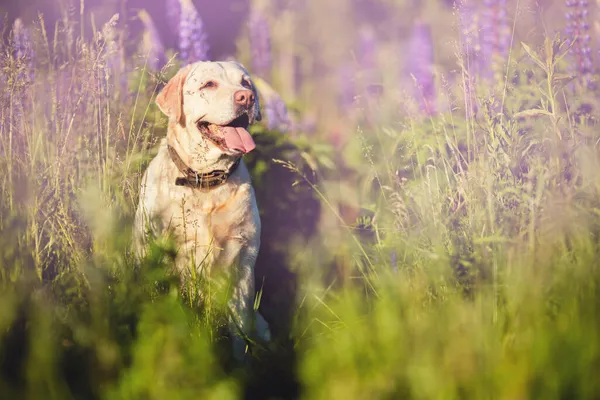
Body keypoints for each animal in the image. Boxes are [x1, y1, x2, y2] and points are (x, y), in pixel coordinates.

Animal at [135, 61, 270, 358]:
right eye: (209, 84)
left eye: (246, 83)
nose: (246, 98)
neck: (205, 182)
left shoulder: (243, 261)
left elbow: (238, 327)